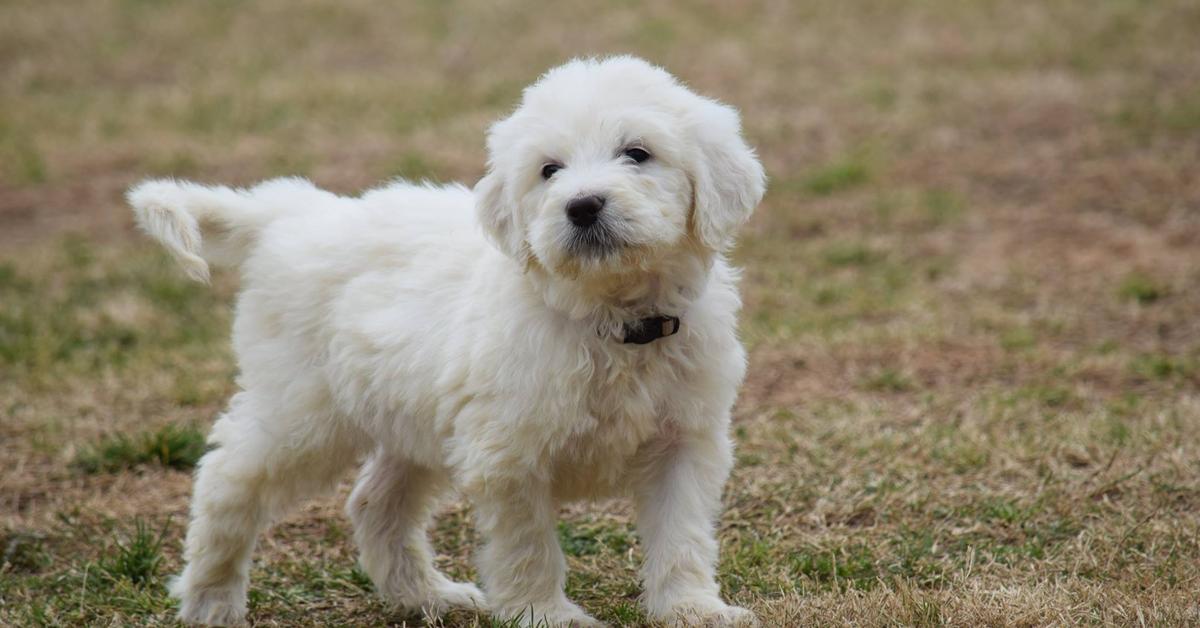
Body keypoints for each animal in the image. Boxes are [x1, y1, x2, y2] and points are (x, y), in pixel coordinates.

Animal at [126, 56, 763, 624]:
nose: (582, 206)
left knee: (375, 504)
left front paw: (692, 609)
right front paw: (545, 614)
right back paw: (210, 600)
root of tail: (292, 214)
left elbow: (681, 536)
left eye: (637, 153)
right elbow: (529, 547)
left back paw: (427, 597)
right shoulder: (508, 456)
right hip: (300, 411)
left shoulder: (685, 442)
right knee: (227, 479)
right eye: (549, 170)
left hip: (409, 419)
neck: (609, 317)